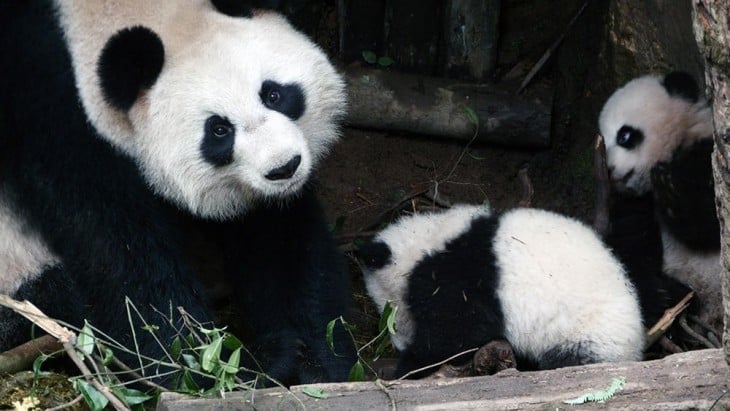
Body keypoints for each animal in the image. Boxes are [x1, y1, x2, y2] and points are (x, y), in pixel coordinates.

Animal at [0, 0, 352, 386]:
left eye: (273, 94)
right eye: (218, 130)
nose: (284, 167)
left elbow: (278, 241)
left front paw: (310, 359)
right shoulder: (55, 119)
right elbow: (117, 253)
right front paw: (211, 369)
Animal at [356, 206, 648, 380]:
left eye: (390, 316)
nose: (397, 345)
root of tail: (635, 352)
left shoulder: (465, 278)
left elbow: (456, 334)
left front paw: (408, 366)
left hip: (588, 336)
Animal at [596, 72, 720, 334]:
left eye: (624, 136)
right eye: (603, 142)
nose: (609, 170)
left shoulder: (704, 153)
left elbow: (710, 223)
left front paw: (672, 192)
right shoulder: (636, 205)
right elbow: (631, 245)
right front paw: (656, 293)